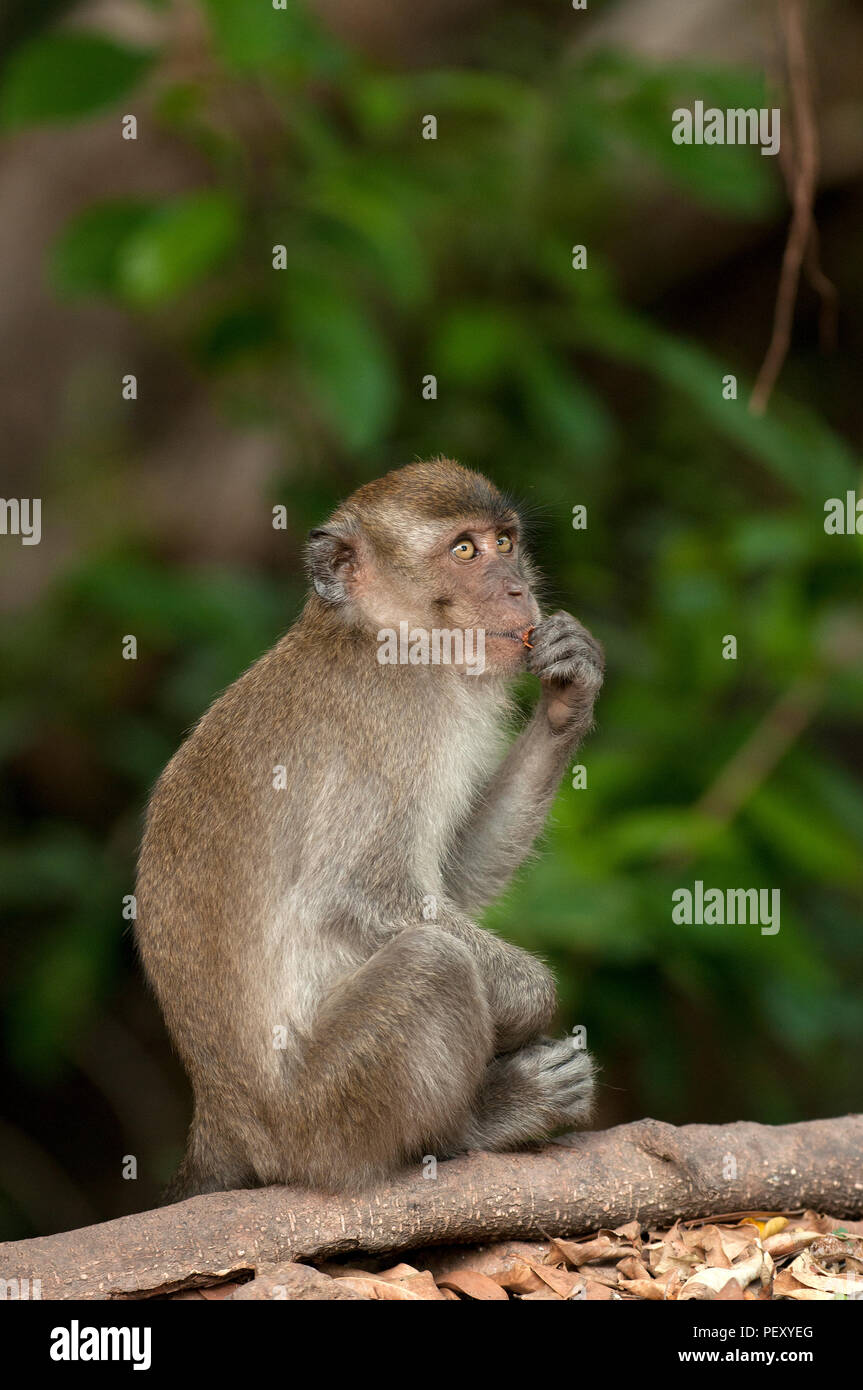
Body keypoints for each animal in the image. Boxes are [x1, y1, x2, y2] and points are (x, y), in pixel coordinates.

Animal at [135, 458, 604, 1200]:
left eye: (505, 542)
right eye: (464, 551)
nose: (518, 587)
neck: (378, 631)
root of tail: (220, 1117)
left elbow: (452, 879)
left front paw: (569, 694)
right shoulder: (395, 721)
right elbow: (359, 890)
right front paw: (533, 1000)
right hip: (321, 1118)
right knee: (433, 962)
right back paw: (482, 1123)